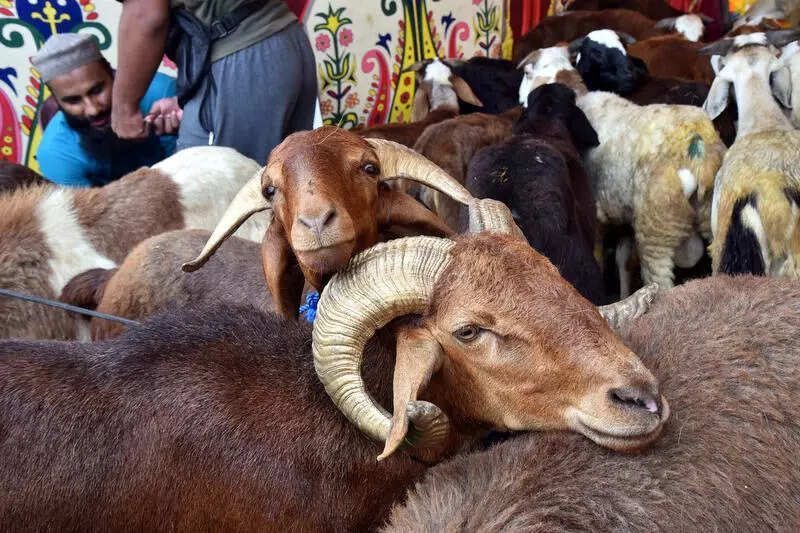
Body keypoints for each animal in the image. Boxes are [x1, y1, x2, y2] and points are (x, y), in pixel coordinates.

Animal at [518, 44, 726, 292]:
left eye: (527, 73)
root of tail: (697, 145)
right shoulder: (623, 213)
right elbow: (623, 261)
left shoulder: (598, 215)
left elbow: (600, 257)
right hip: (711, 212)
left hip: (656, 224)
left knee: (660, 279)